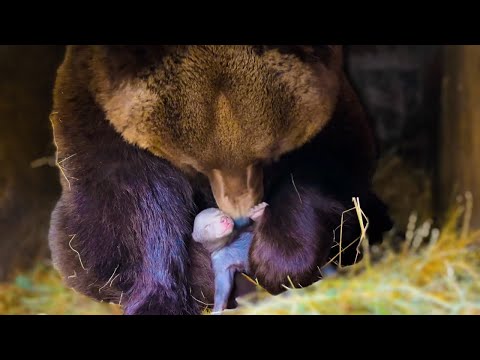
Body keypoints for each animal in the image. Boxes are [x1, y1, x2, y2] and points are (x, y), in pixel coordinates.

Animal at [48, 45, 394, 316]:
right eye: (197, 164)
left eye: (267, 153)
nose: (238, 212)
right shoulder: (95, 120)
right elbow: (124, 213)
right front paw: (160, 297)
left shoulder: (335, 110)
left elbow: (333, 169)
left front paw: (278, 259)